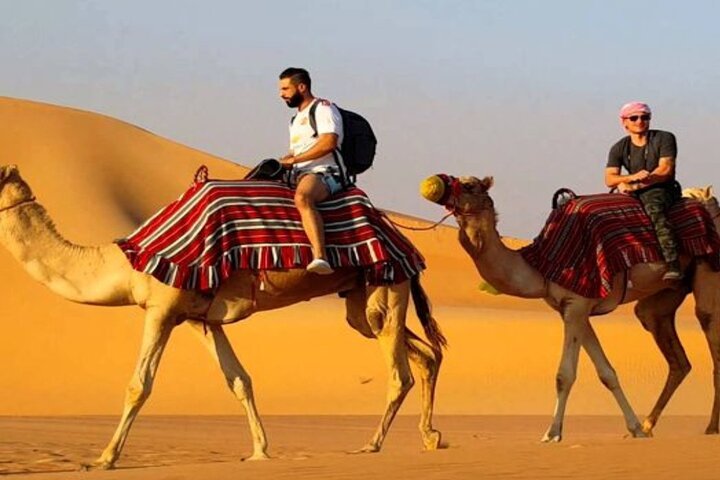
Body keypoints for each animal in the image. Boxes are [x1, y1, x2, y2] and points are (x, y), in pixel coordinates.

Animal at [0, 164, 446, 469]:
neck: (127, 262)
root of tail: (398, 233)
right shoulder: (200, 318)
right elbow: (239, 381)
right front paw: (260, 451)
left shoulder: (162, 308)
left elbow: (139, 385)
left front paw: (105, 458)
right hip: (364, 296)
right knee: (425, 354)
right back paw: (430, 437)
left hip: (385, 286)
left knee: (400, 372)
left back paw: (372, 444)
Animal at [420, 174, 720, 442]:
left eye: (469, 185)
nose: (436, 185)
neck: (540, 265)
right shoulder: (575, 309)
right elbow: (606, 373)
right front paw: (634, 428)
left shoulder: (576, 304)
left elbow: (564, 375)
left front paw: (552, 432)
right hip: (665, 295)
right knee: (673, 351)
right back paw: (648, 425)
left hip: (708, 270)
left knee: (708, 322)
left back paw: (711, 428)